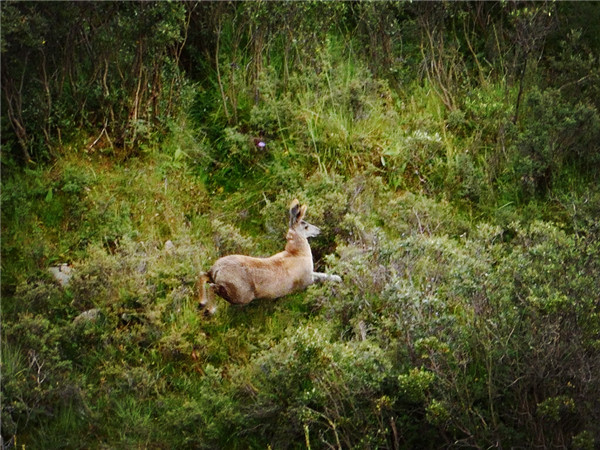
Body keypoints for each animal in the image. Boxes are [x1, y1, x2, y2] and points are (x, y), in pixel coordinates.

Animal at [198, 199, 342, 314]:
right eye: (305, 226)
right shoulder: (306, 280)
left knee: (202, 275)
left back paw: (202, 303)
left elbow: (326, 275)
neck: (296, 253)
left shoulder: (310, 274)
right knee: (212, 287)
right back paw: (209, 310)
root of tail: (217, 269)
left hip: (221, 281)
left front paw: (339, 277)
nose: (319, 230)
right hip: (240, 293)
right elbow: (321, 278)